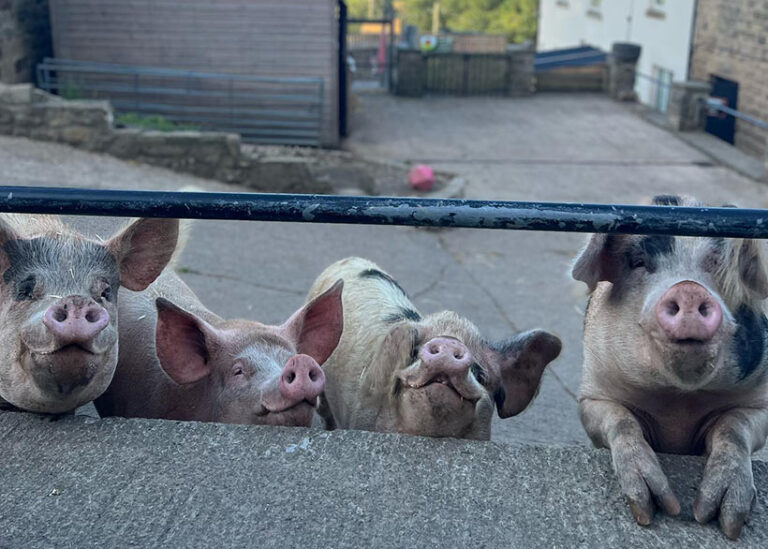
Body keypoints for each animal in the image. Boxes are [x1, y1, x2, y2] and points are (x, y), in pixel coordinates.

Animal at [572, 195, 768, 536]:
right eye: (639, 262)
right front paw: (656, 509)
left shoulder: (758, 400)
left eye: (717, 262)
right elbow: (623, 422)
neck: (677, 402)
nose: (689, 289)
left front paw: (721, 522)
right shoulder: (593, 393)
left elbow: (733, 428)